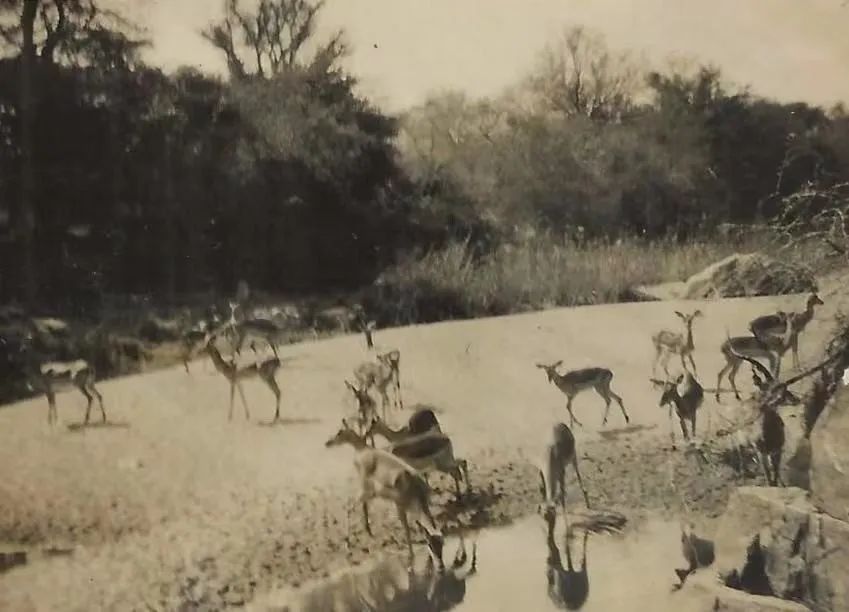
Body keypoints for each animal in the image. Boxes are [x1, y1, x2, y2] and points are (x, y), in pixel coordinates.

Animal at [322, 418, 444, 560]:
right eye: (431, 546)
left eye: (441, 544)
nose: (328, 442)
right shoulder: (400, 505)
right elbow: (407, 527)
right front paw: (410, 555)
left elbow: (409, 526)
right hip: (366, 492)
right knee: (349, 507)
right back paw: (349, 543)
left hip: (369, 493)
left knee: (351, 507)